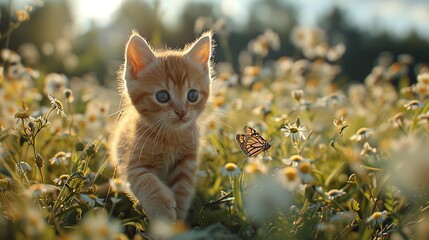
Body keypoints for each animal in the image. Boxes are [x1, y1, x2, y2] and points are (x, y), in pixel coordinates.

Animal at [108, 31, 212, 222]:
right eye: (162, 96)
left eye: (192, 95)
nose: (181, 112)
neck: (171, 136)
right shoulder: (134, 164)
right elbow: (147, 182)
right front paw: (162, 212)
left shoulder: (187, 160)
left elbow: (183, 189)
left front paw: (178, 218)